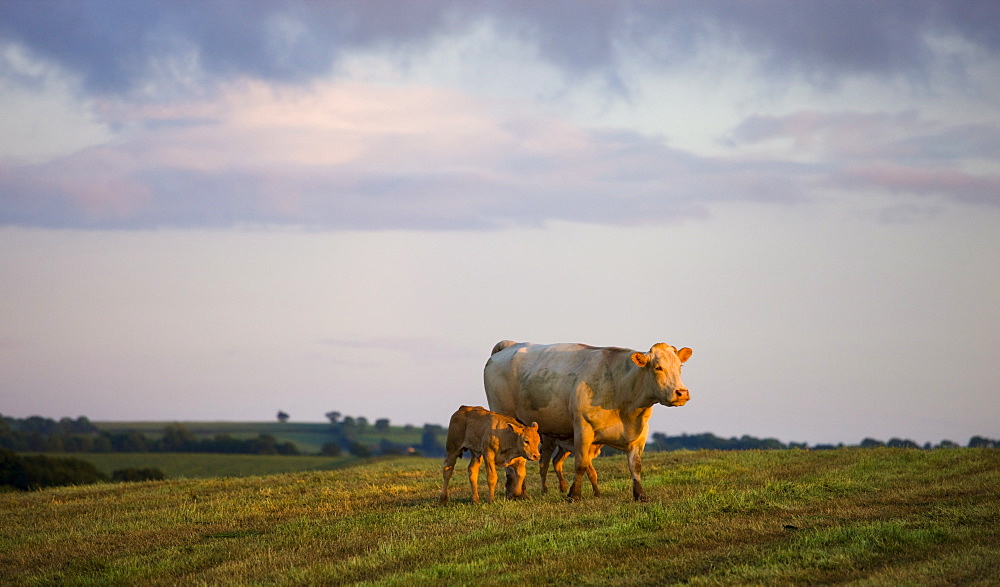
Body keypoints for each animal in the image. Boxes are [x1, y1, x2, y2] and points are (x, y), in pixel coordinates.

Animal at [486, 342, 692, 504]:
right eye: (658, 367)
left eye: (680, 367)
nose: (681, 393)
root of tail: (510, 345)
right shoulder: (583, 429)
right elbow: (581, 464)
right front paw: (574, 495)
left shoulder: (639, 435)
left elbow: (635, 466)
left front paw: (641, 495)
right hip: (506, 416)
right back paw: (516, 493)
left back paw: (518, 492)